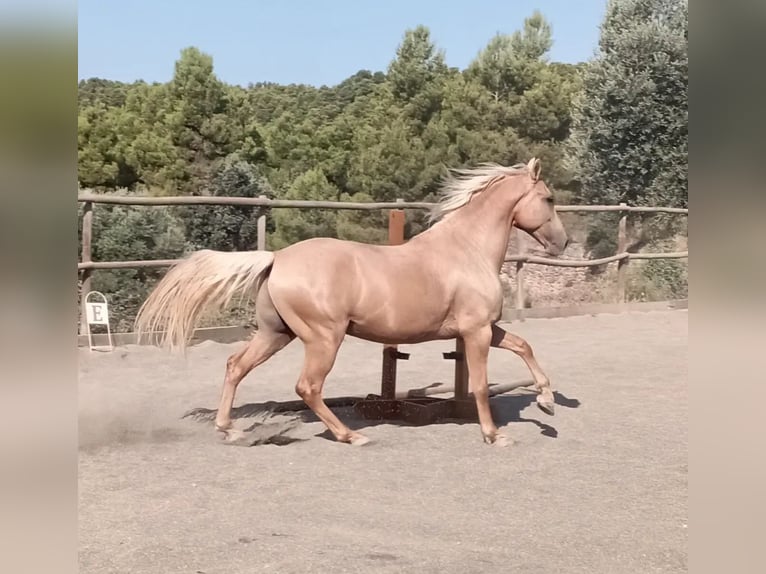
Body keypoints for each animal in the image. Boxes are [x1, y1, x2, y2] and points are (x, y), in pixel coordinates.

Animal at [136, 159, 568, 450]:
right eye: (548, 198)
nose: (563, 243)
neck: (467, 249)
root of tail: (277, 258)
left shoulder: (485, 329)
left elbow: (525, 347)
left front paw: (546, 403)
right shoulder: (475, 331)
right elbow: (479, 384)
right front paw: (495, 435)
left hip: (277, 334)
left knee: (236, 366)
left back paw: (229, 429)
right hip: (324, 338)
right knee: (308, 386)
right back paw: (351, 435)